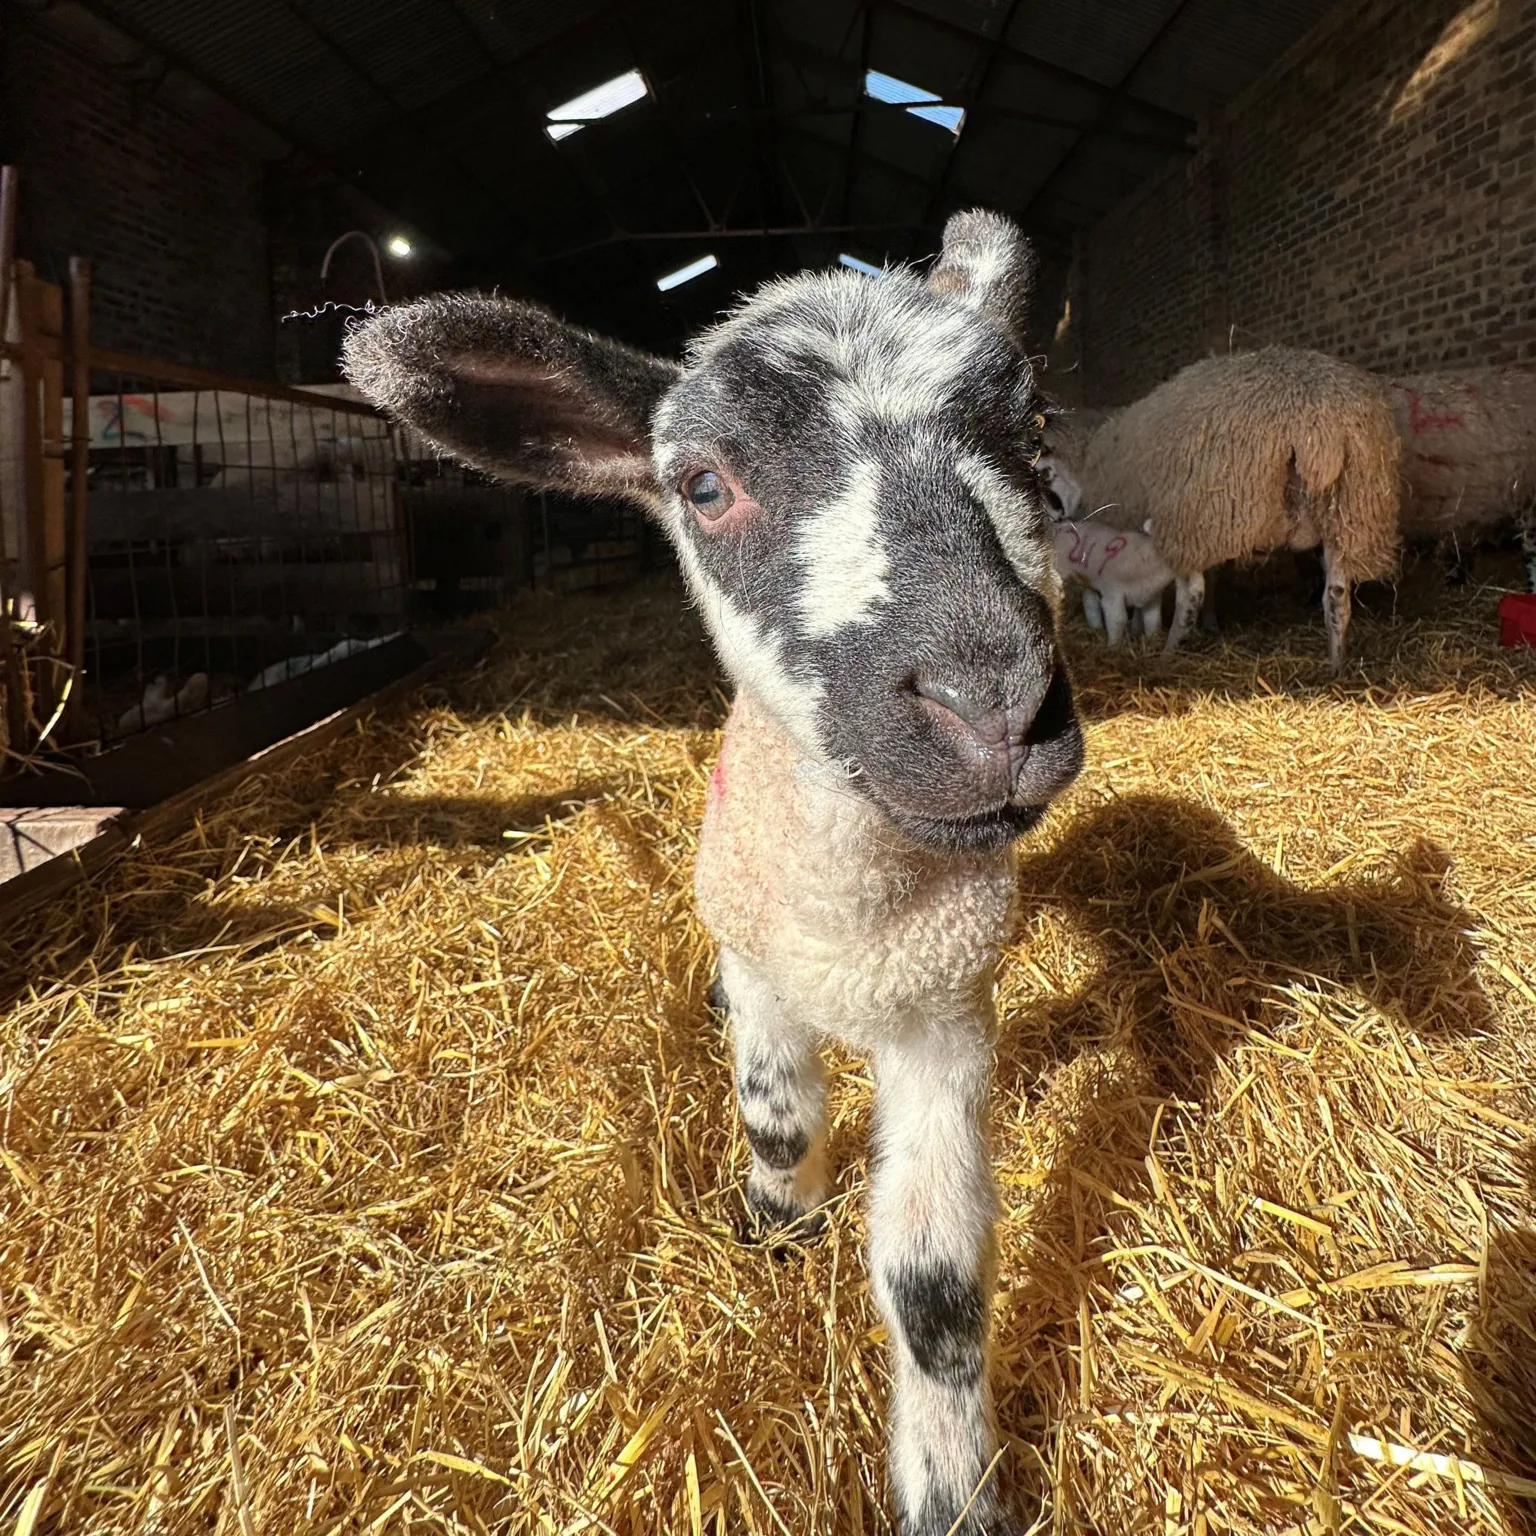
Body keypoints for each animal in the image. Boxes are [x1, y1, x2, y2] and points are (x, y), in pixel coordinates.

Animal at [343, 210, 1084, 1536]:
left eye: (1036, 432)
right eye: (702, 485)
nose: (993, 706)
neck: (851, 914)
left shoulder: (944, 1010)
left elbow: (936, 1285)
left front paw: (950, 1491)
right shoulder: (760, 962)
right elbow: (777, 1121)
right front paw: (777, 1231)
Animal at [1043, 348, 1402, 665]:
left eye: (1044, 474)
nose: (1056, 517)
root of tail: (1316, 431)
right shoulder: (1217, 531)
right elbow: (1214, 577)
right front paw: (1211, 624)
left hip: (1190, 516)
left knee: (1191, 594)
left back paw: (1170, 649)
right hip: (1348, 517)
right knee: (1338, 595)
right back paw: (1335, 662)